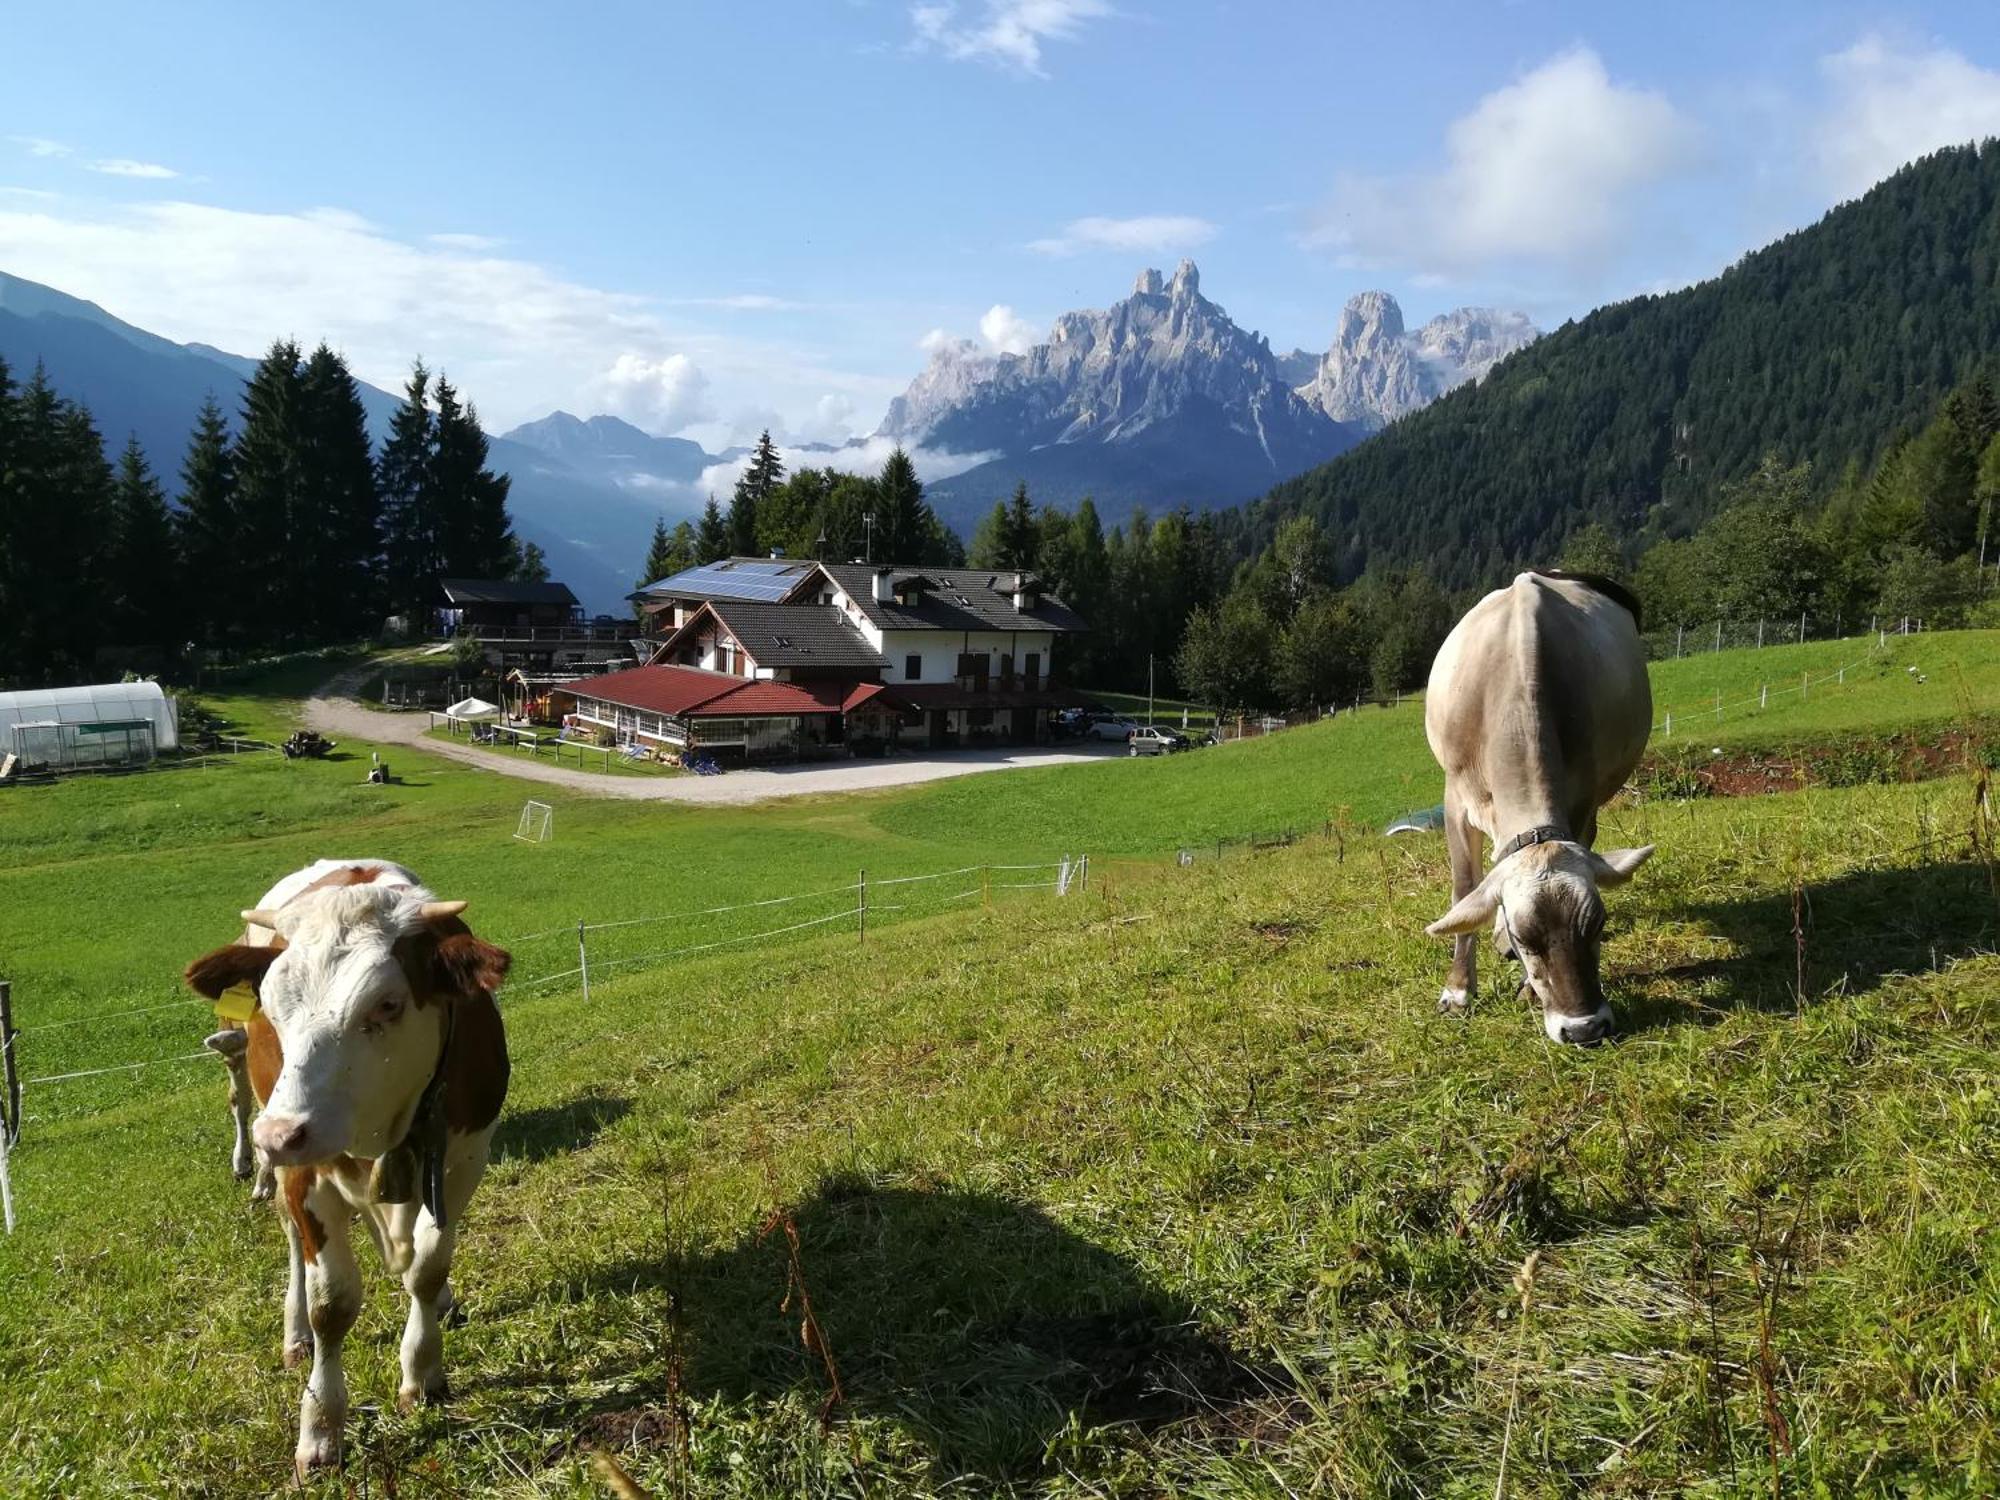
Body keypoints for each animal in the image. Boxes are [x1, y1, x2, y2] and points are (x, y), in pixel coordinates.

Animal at [188, 868, 512, 1480]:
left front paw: (422, 1373)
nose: (277, 1134)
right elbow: (332, 1305)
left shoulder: (465, 1159)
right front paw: (320, 1430)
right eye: (269, 1006)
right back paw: (294, 1335)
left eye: (387, 1004)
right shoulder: (304, 1173)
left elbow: (427, 1269)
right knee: (294, 1247)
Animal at [1424, 568, 1656, 1048]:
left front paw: (1528, 989)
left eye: (1598, 925)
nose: (1585, 1028)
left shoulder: (1581, 799)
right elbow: (1464, 890)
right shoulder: (1455, 799)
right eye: (1525, 936)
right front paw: (1458, 990)